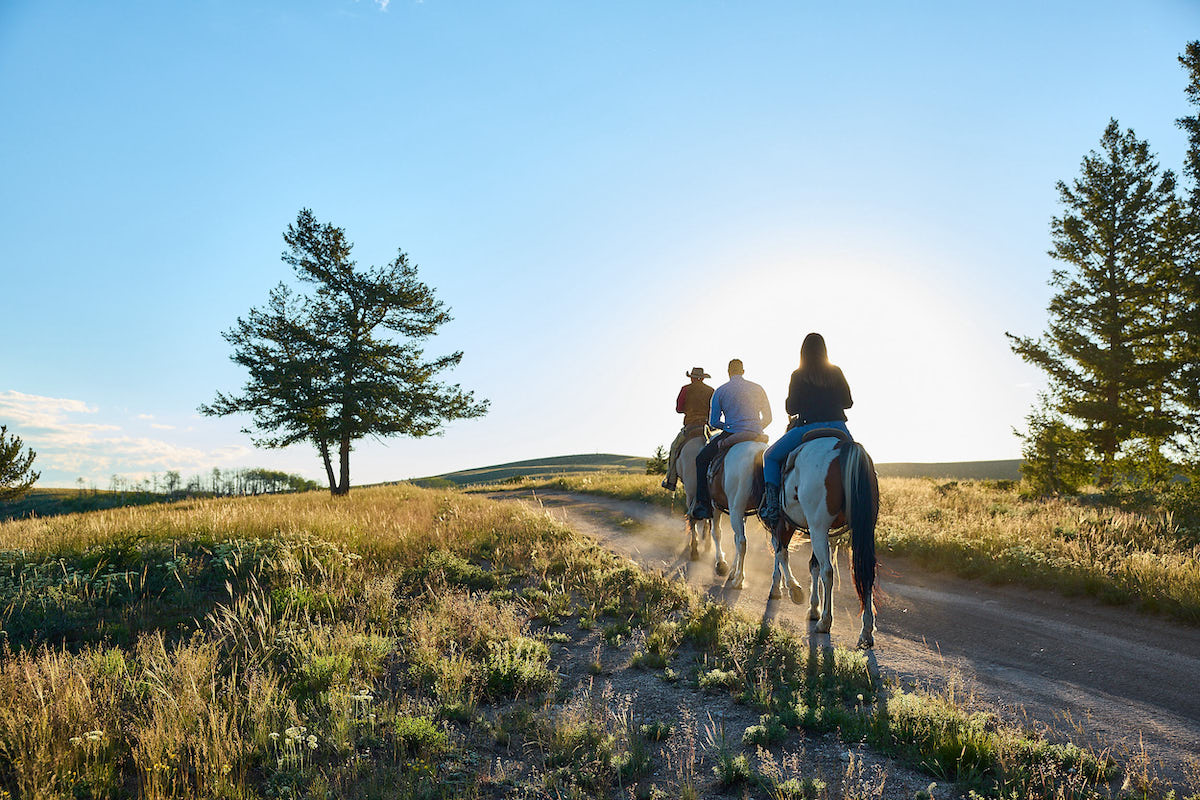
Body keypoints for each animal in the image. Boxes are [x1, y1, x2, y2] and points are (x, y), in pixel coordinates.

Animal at [772, 429, 878, 647]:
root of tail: (844, 447)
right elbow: (812, 565)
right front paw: (813, 608)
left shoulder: (786, 523)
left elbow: (782, 553)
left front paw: (794, 590)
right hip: (860, 529)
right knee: (866, 572)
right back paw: (866, 632)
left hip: (817, 528)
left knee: (828, 571)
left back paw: (825, 622)